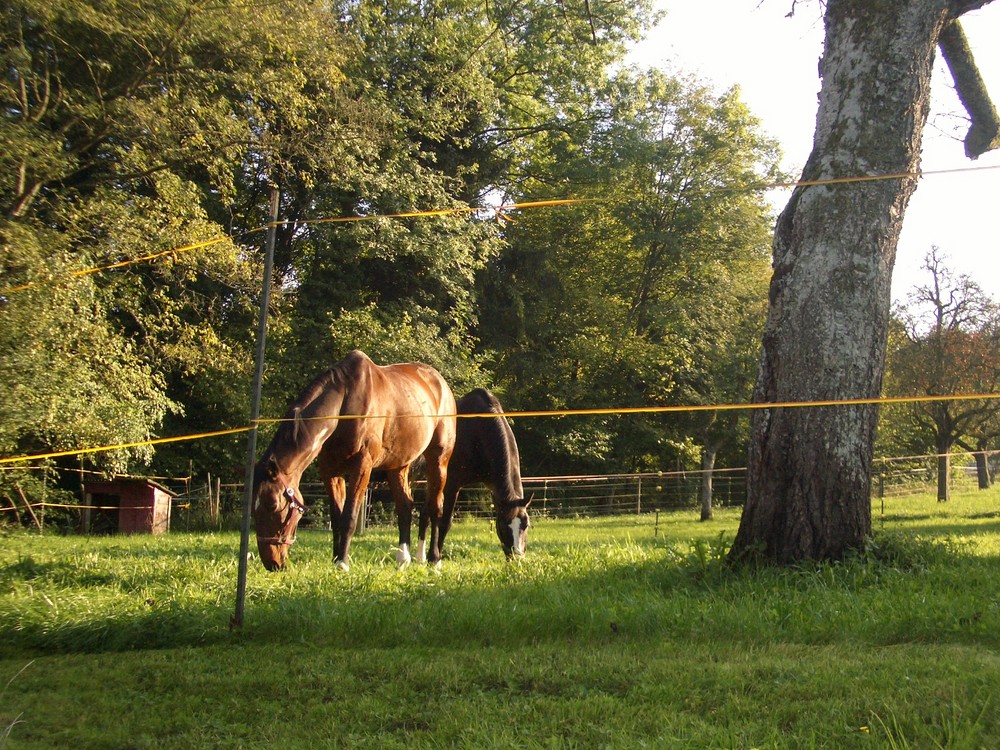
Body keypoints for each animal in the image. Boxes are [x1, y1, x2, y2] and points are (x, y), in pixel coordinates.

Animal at [252, 350, 456, 572]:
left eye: (272, 505)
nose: (272, 563)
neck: (344, 405)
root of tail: (440, 382)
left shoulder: (362, 467)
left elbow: (349, 516)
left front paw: (342, 562)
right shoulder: (330, 471)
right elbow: (336, 517)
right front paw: (335, 558)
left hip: (438, 460)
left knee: (435, 507)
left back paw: (434, 559)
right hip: (398, 466)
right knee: (405, 506)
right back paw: (404, 558)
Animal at [418, 390, 532, 560]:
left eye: (526, 525)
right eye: (504, 526)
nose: (517, 558)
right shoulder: (452, 485)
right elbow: (444, 522)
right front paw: (436, 558)